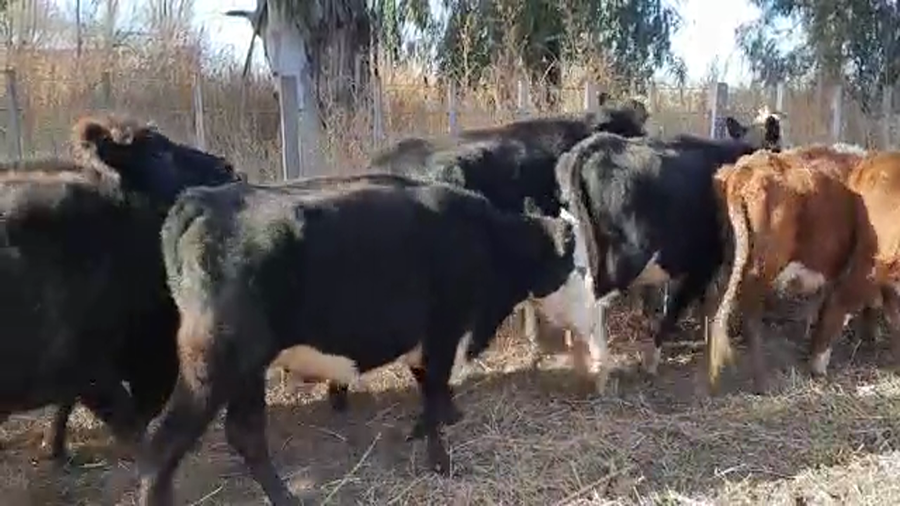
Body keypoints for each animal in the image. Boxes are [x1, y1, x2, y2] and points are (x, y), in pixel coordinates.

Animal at [137, 174, 597, 505]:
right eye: (577, 266)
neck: (486, 240)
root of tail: (202, 200)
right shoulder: (443, 328)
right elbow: (433, 389)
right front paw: (440, 461)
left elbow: (428, 387)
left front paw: (434, 424)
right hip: (214, 362)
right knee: (162, 448)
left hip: (247, 367)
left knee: (244, 432)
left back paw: (284, 497)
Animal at [554, 112, 783, 379]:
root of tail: (594, 146)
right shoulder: (703, 264)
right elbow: (677, 309)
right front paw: (653, 360)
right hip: (624, 259)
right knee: (595, 299)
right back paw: (600, 366)